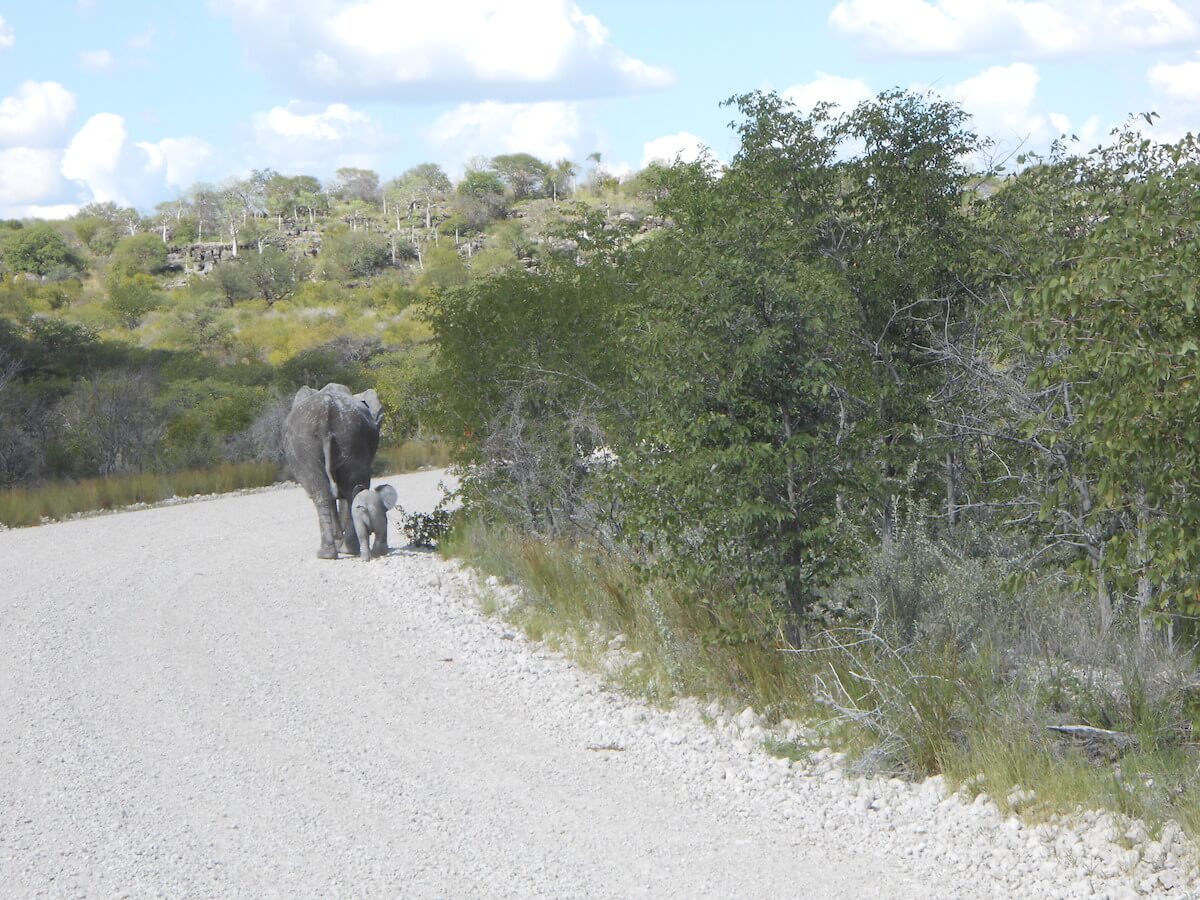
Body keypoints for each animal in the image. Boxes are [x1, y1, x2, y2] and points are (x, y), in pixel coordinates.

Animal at [279, 384, 379, 561]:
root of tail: (326, 413)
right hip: (348, 438)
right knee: (351, 489)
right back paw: (341, 551)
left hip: (332, 440)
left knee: (325, 493)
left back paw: (332, 552)